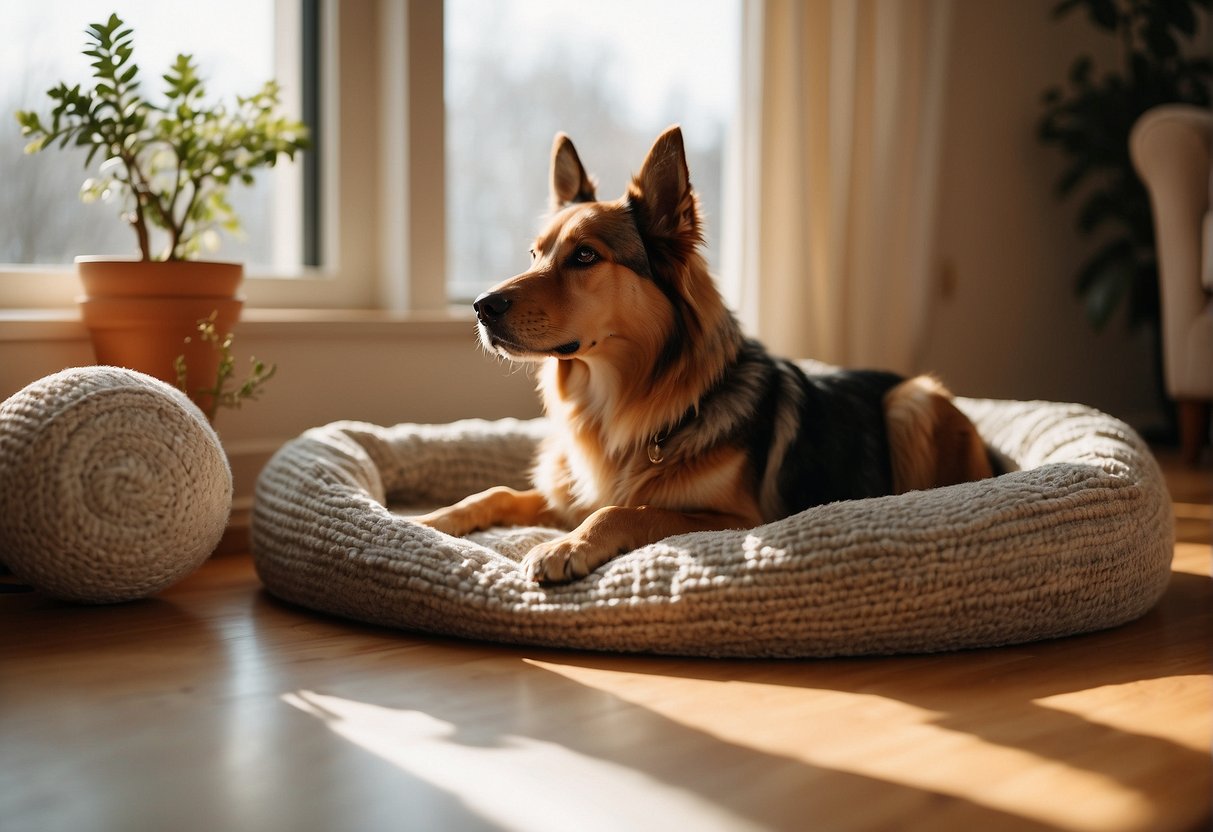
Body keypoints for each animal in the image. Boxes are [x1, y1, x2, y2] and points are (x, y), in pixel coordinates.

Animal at [419, 128, 994, 587]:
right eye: (534, 254)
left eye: (584, 256)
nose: (481, 306)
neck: (614, 401)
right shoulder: (569, 494)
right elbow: (495, 492)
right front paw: (430, 520)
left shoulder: (743, 518)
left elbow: (623, 511)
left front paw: (566, 546)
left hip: (914, 399)